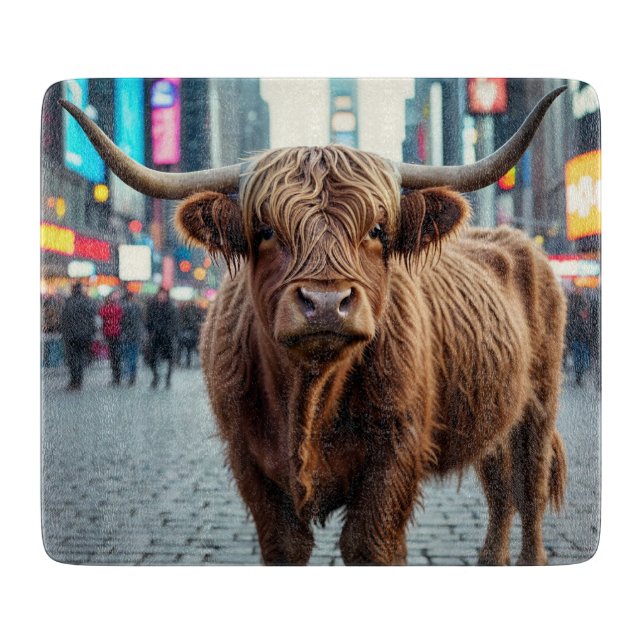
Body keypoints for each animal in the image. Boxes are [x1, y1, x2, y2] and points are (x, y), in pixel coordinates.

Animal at [61, 86, 567, 565]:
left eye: (378, 230)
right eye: (265, 230)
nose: (326, 303)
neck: (309, 395)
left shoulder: (396, 456)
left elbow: (369, 545)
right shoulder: (249, 462)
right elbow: (286, 545)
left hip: (539, 405)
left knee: (529, 488)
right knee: (500, 487)